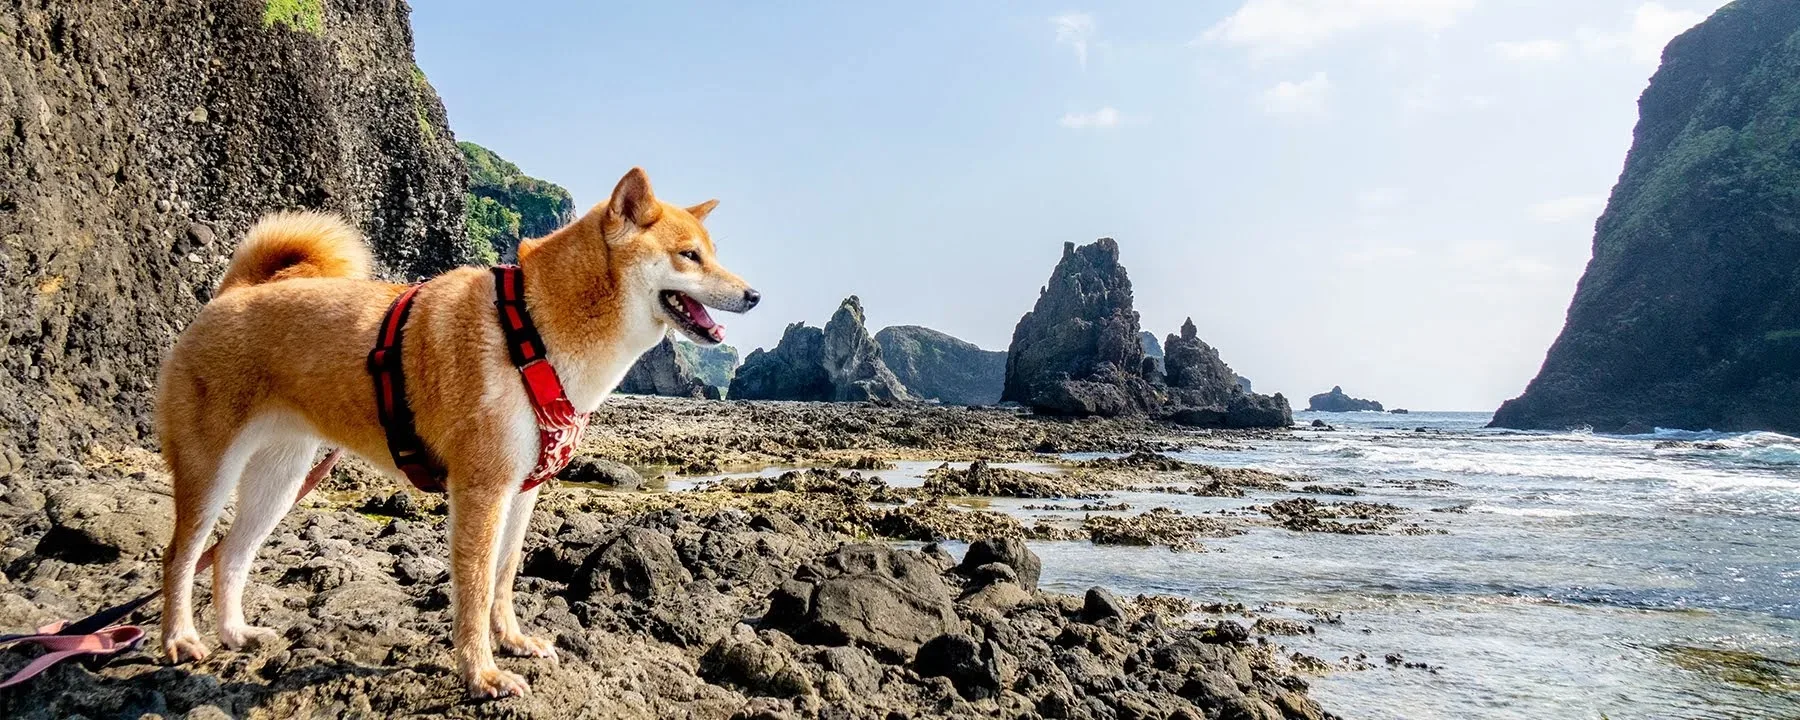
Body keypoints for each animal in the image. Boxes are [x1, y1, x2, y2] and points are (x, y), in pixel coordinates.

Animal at [147, 169, 752, 698]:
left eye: (713, 252)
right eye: (689, 255)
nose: (754, 296)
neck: (533, 329)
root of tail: (232, 292)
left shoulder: (521, 490)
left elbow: (503, 579)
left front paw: (512, 642)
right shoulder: (482, 488)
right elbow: (475, 590)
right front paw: (481, 675)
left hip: (281, 477)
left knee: (231, 555)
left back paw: (235, 634)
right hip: (210, 468)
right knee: (180, 555)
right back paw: (180, 638)